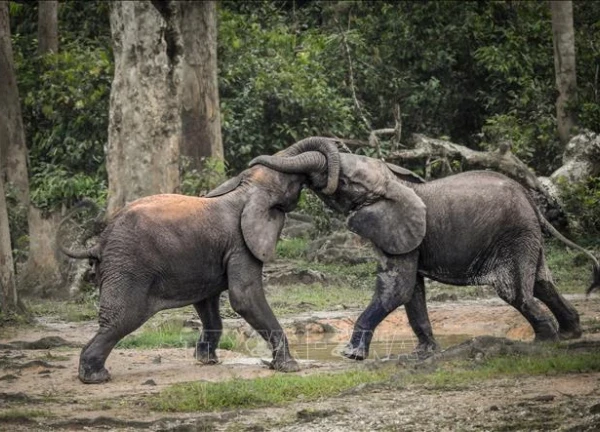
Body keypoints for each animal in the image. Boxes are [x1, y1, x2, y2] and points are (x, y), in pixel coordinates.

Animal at [58, 150, 340, 384]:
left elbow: (208, 304)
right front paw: (291, 367)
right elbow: (244, 297)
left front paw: (208, 361)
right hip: (128, 268)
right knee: (122, 318)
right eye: (291, 183)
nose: (319, 181)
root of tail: (100, 242)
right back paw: (95, 377)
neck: (245, 191)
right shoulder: (241, 244)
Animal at [251, 138, 600, 362]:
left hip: (513, 235)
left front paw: (349, 355)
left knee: (515, 292)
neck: (397, 183)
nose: (253, 163)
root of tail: (532, 200)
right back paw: (570, 334)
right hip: (526, 236)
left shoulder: (398, 231)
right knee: (542, 283)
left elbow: (397, 288)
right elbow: (412, 292)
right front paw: (424, 353)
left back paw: (544, 341)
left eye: (346, 181)